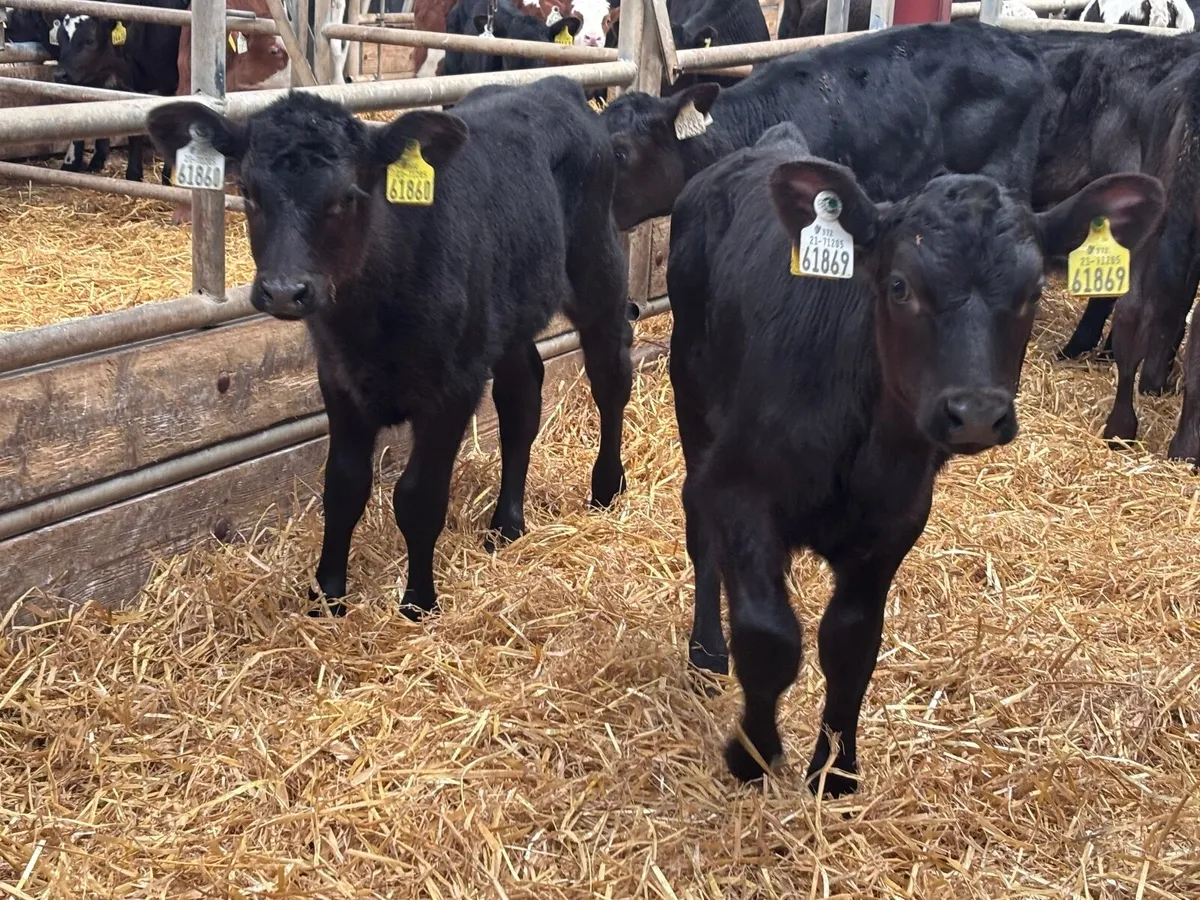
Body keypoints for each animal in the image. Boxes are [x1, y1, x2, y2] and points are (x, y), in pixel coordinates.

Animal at [146, 78, 633, 617]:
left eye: (347, 196)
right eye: (248, 193)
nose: (283, 290)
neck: (371, 322)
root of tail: (554, 86)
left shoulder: (454, 387)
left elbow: (419, 497)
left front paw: (418, 603)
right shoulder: (338, 378)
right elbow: (343, 486)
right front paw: (326, 596)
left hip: (598, 270)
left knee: (610, 375)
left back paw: (606, 489)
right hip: (508, 313)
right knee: (522, 398)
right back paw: (507, 524)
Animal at [667, 121, 1165, 793]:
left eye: (1035, 291)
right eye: (900, 286)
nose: (975, 411)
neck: (861, 451)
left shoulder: (895, 524)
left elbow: (850, 647)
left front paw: (835, 772)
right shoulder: (737, 488)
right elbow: (769, 636)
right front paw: (752, 755)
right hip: (691, 405)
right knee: (701, 541)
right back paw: (706, 654)